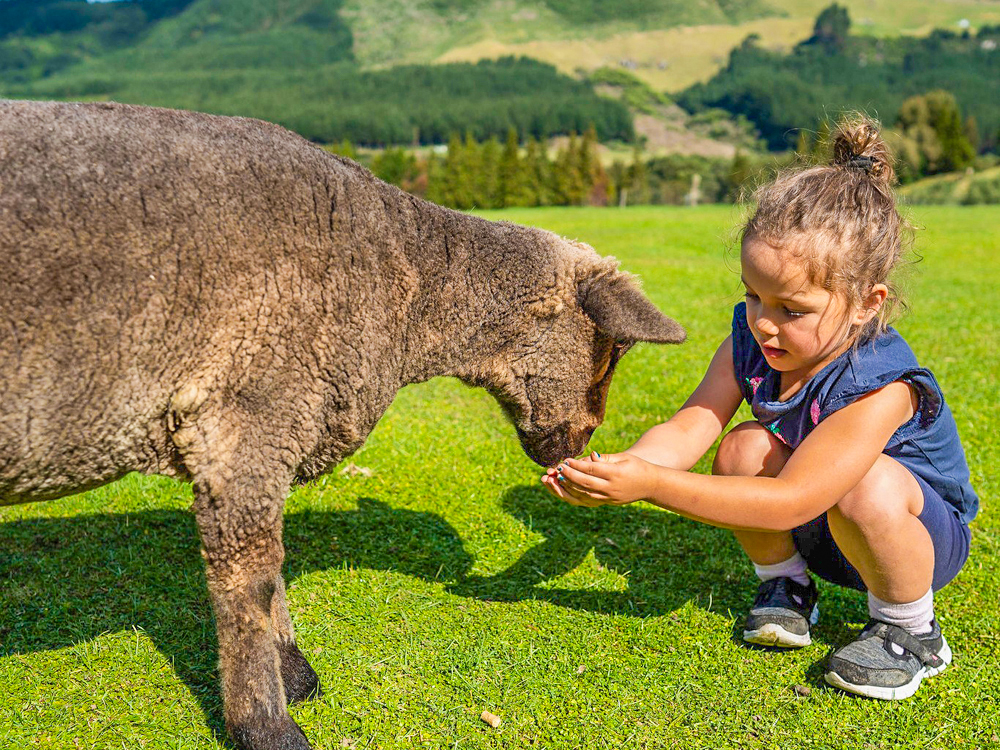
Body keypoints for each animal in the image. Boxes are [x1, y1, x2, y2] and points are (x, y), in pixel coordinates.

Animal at [0, 101, 688, 750]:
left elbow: (272, 568)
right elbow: (249, 581)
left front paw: (294, 674)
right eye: (610, 352)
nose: (581, 443)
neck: (413, 290)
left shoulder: (269, 433)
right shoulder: (250, 417)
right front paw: (266, 723)